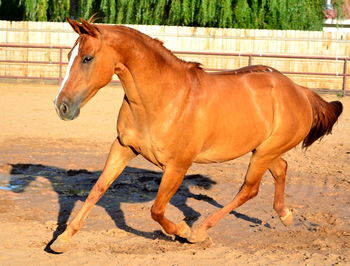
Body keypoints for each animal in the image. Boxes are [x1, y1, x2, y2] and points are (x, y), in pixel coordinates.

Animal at [51, 18, 342, 251]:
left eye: (87, 58)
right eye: (70, 55)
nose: (61, 106)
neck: (163, 98)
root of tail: (299, 90)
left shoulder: (177, 166)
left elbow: (156, 209)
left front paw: (182, 231)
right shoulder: (123, 147)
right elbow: (98, 189)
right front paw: (62, 240)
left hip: (263, 153)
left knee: (249, 189)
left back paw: (200, 232)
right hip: (264, 150)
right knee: (281, 168)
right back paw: (285, 215)